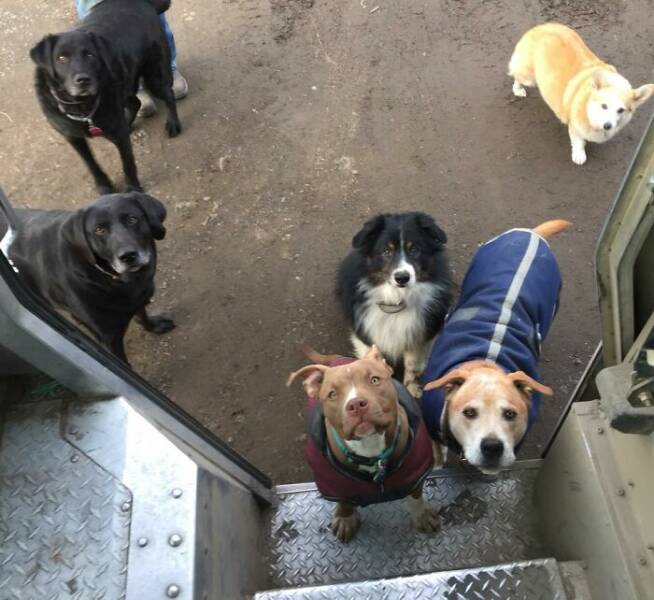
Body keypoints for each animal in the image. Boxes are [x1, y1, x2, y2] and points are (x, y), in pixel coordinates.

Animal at [288, 344, 438, 540]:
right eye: (332, 394)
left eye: (374, 380)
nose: (356, 404)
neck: (370, 449)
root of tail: (338, 358)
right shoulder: (334, 485)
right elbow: (344, 502)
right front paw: (345, 519)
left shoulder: (415, 473)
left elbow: (416, 496)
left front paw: (421, 515)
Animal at [512, 22, 654, 164]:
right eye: (604, 106)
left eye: (621, 110)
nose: (607, 126)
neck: (590, 110)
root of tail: (541, 26)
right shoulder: (575, 127)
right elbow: (578, 142)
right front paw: (579, 155)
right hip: (529, 78)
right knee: (516, 76)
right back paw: (518, 90)